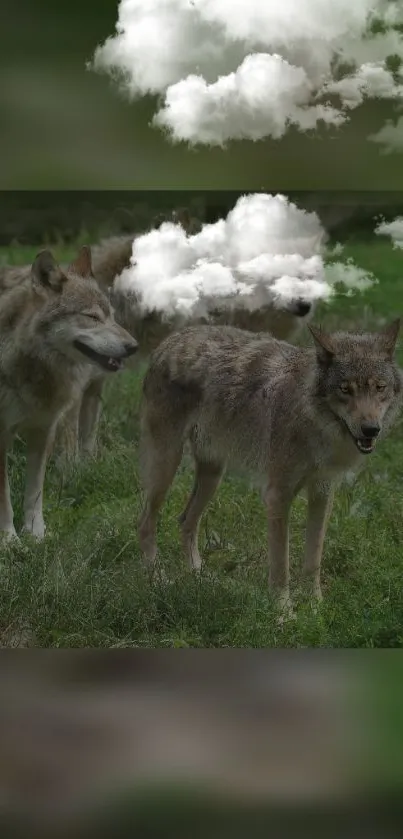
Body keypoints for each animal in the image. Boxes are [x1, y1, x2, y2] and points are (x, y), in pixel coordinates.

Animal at [0, 246, 137, 540]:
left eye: (112, 315)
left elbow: (34, 492)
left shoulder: (44, 430)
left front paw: (36, 535)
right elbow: (4, 497)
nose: (134, 346)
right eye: (92, 317)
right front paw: (9, 539)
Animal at [138, 318, 400, 612]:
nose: (371, 430)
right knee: (144, 524)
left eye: (379, 388)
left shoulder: (322, 492)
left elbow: (313, 559)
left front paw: (316, 607)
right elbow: (281, 566)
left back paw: (200, 578)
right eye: (345, 389)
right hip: (166, 467)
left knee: (185, 521)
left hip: (213, 474)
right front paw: (284, 613)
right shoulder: (277, 496)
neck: (312, 419)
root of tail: (170, 341)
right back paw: (157, 581)